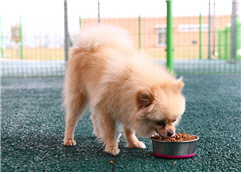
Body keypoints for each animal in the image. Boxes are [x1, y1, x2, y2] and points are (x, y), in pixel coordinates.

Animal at [63, 23, 185, 156]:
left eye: (174, 120)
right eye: (160, 122)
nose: (171, 133)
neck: (129, 81)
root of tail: (87, 45)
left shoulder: (126, 107)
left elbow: (129, 130)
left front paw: (133, 143)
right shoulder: (107, 110)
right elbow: (110, 131)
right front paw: (112, 147)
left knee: (94, 116)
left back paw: (99, 133)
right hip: (78, 96)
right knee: (71, 119)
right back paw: (68, 139)